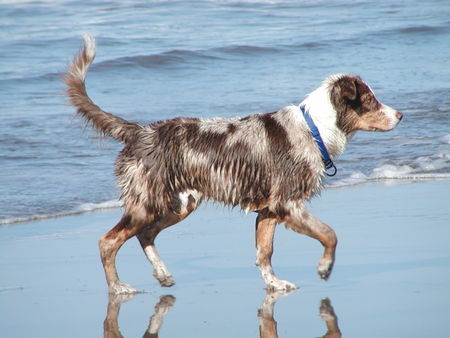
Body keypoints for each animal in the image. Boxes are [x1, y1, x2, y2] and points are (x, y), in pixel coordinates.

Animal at [64, 35, 404, 294]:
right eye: (370, 100)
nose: (401, 115)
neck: (315, 129)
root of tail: (139, 131)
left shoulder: (269, 210)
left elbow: (264, 252)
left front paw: (273, 285)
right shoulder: (288, 203)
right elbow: (330, 234)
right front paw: (324, 267)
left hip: (180, 204)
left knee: (145, 235)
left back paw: (162, 274)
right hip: (147, 203)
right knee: (108, 242)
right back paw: (118, 288)